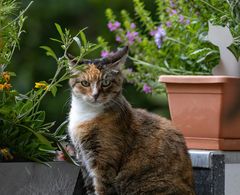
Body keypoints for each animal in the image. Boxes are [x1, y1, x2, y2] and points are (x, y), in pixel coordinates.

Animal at [67, 46, 195, 195]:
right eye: (85, 83)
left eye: (106, 82)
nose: (95, 95)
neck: (86, 113)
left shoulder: (104, 163)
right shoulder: (83, 161)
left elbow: (102, 189)